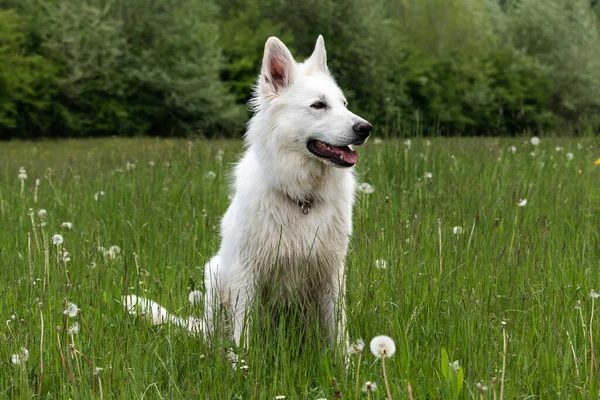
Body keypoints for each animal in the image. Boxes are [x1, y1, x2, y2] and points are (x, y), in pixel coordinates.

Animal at [125, 36, 372, 350]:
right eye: (318, 105)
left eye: (344, 104)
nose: (366, 128)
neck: (301, 198)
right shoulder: (247, 273)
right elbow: (244, 334)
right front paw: (244, 361)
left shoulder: (331, 273)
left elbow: (338, 333)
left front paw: (343, 362)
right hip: (215, 274)